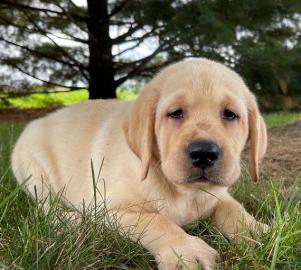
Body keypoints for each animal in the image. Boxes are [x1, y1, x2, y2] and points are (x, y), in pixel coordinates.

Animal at [12, 58, 268, 268]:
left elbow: (233, 208)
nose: (204, 153)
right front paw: (186, 251)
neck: (184, 193)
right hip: (34, 171)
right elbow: (156, 220)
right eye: (175, 113)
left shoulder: (218, 194)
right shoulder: (107, 210)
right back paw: (74, 221)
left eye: (230, 114)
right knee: (47, 210)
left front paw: (256, 232)